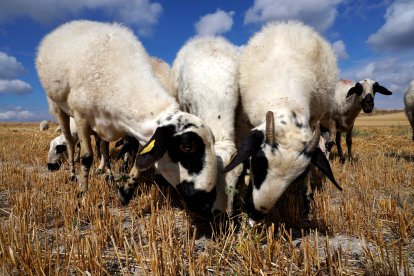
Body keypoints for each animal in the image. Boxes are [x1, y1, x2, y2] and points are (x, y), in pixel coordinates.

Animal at [36, 19, 220, 219]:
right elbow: (86, 157)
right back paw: (72, 174)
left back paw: (108, 175)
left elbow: (137, 158)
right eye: (187, 146)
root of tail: (70, 24)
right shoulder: (81, 117)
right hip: (58, 107)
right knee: (70, 143)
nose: (207, 204)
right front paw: (82, 198)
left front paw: (125, 192)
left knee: (103, 148)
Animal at [222, 20, 342, 221]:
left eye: (297, 177)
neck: (284, 99)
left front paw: (306, 205)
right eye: (258, 163)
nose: (256, 213)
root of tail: (290, 24)